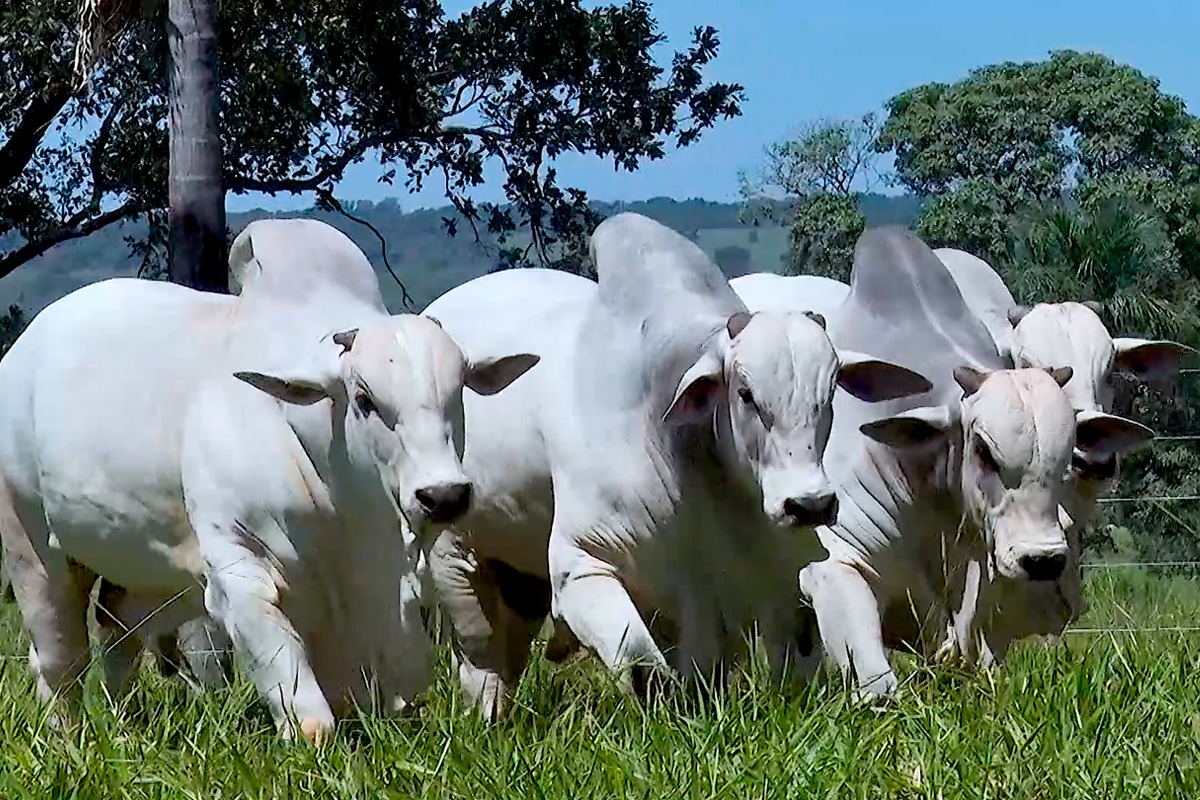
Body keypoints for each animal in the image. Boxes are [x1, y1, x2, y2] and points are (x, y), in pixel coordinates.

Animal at [0, 220, 537, 743]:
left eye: (458, 391)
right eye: (364, 398)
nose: (443, 495)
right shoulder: (239, 569)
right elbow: (311, 720)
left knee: (117, 628)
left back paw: (126, 728)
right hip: (29, 542)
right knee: (59, 659)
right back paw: (68, 739)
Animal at [422, 214, 936, 719]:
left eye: (831, 392)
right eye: (745, 393)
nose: (810, 505)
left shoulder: (761, 590)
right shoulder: (582, 568)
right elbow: (643, 670)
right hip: (455, 561)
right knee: (483, 665)